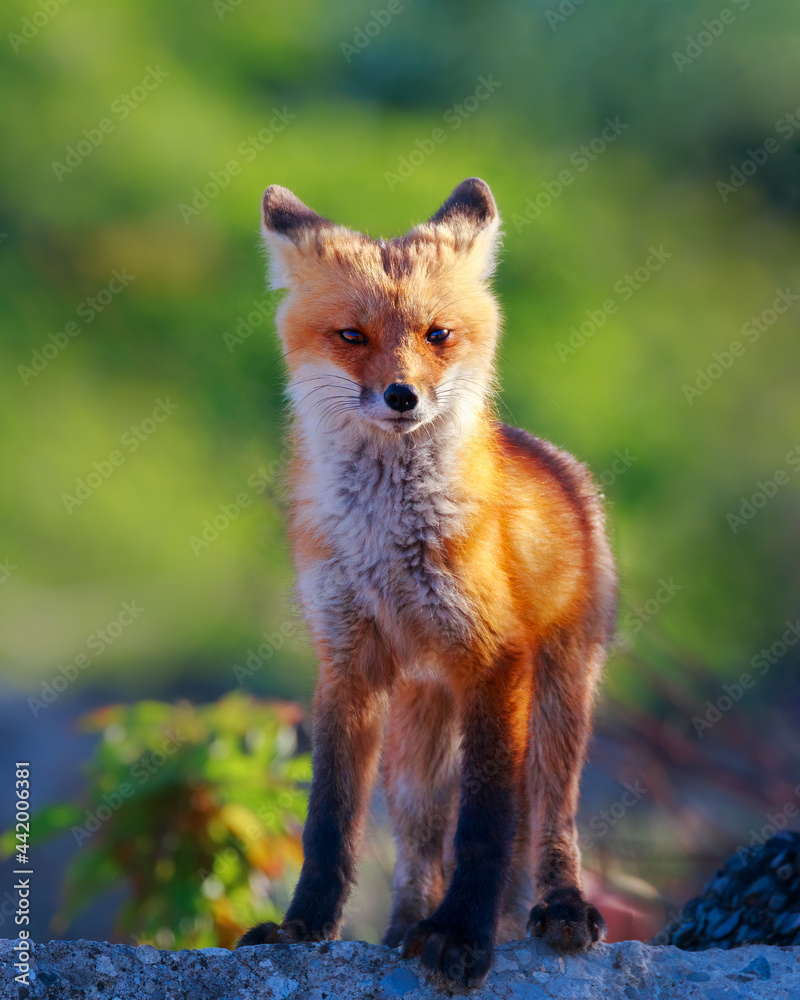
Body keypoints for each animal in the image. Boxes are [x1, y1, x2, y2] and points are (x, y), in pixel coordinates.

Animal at [238, 177, 617, 989]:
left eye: (437, 334)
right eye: (352, 336)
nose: (403, 396)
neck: (387, 545)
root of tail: (559, 464)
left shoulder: (495, 660)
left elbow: (486, 827)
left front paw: (465, 938)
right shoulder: (346, 663)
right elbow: (330, 826)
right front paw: (302, 931)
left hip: (558, 699)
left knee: (552, 819)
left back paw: (561, 908)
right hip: (416, 745)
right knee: (418, 850)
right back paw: (402, 932)